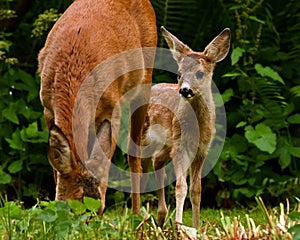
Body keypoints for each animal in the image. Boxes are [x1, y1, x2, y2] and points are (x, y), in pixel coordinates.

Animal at [38, 0, 157, 215]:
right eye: (68, 208)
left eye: (99, 209)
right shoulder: (47, 107)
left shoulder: (113, 108)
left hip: (145, 80)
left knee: (134, 153)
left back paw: (137, 215)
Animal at [142, 26, 231, 229]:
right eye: (179, 73)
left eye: (200, 73)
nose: (184, 90)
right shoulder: (180, 147)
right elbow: (181, 187)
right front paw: (179, 226)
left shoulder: (202, 150)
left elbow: (196, 190)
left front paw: (196, 227)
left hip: (167, 144)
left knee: (157, 160)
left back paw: (161, 216)